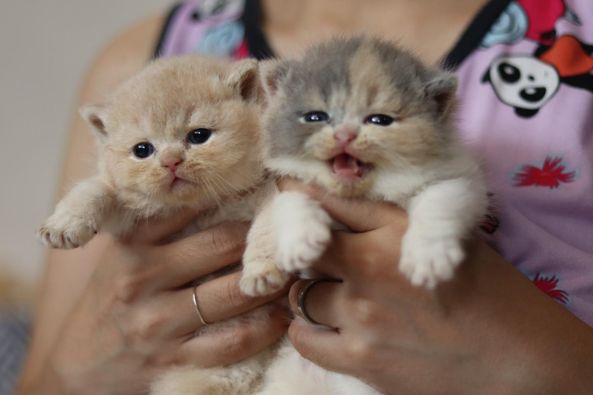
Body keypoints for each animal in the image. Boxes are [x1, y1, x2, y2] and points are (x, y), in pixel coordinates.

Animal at [38, 55, 276, 395]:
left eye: (199, 136)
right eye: (142, 150)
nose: (171, 161)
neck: (202, 209)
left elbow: (274, 221)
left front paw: (261, 271)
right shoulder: (132, 215)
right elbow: (96, 188)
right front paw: (65, 224)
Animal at [238, 35, 488, 394]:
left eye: (379, 120)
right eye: (315, 116)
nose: (345, 135)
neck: (364, 191)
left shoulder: (462, 179)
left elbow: (439, 200)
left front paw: (428, 257)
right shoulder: (284, 185)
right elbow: (291, 201)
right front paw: (301, 240)